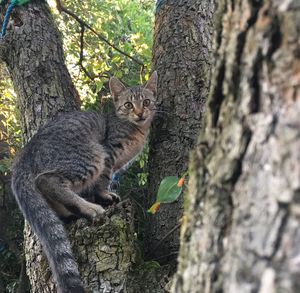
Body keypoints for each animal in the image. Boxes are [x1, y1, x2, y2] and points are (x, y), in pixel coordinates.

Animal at [11, 70, 157, 292]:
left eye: (146, 102)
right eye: (128, 105)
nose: (140, 113)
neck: (136, 129)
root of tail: (25, 151)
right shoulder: (109, 152)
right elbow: (103, 180)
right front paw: (104, 195)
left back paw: (68, 211)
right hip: (90, 155)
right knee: (46, 180)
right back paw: (89, 208)